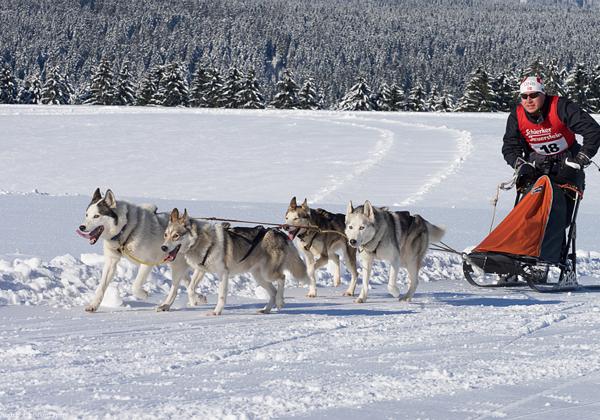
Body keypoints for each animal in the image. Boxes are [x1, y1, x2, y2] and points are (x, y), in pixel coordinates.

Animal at [77, 189, 206, 314]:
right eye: (86, 215)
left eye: (96, 216)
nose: (81, 227)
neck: (126, 229)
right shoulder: (111, 262)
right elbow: (101, 287)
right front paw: (93, 305)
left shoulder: (147, 263)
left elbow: (135, 286)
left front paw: (144, 294)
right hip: (178, 265)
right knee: (189, 283)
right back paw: (198, 298)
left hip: (178, 265)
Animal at [162, 207, 310, 316]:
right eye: (166, 235)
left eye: (176, 236)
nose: (163, 247)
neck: (201, 241)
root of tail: (280, 233)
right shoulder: (201, 270)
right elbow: (190, 288)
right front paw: (197, 300)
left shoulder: (223, 273)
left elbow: (221, 296)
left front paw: (216, 311)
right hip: (259, 276)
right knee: (273, 291)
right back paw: (266, 309)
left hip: (268, 273)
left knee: (282, 278)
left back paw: (280, 302)